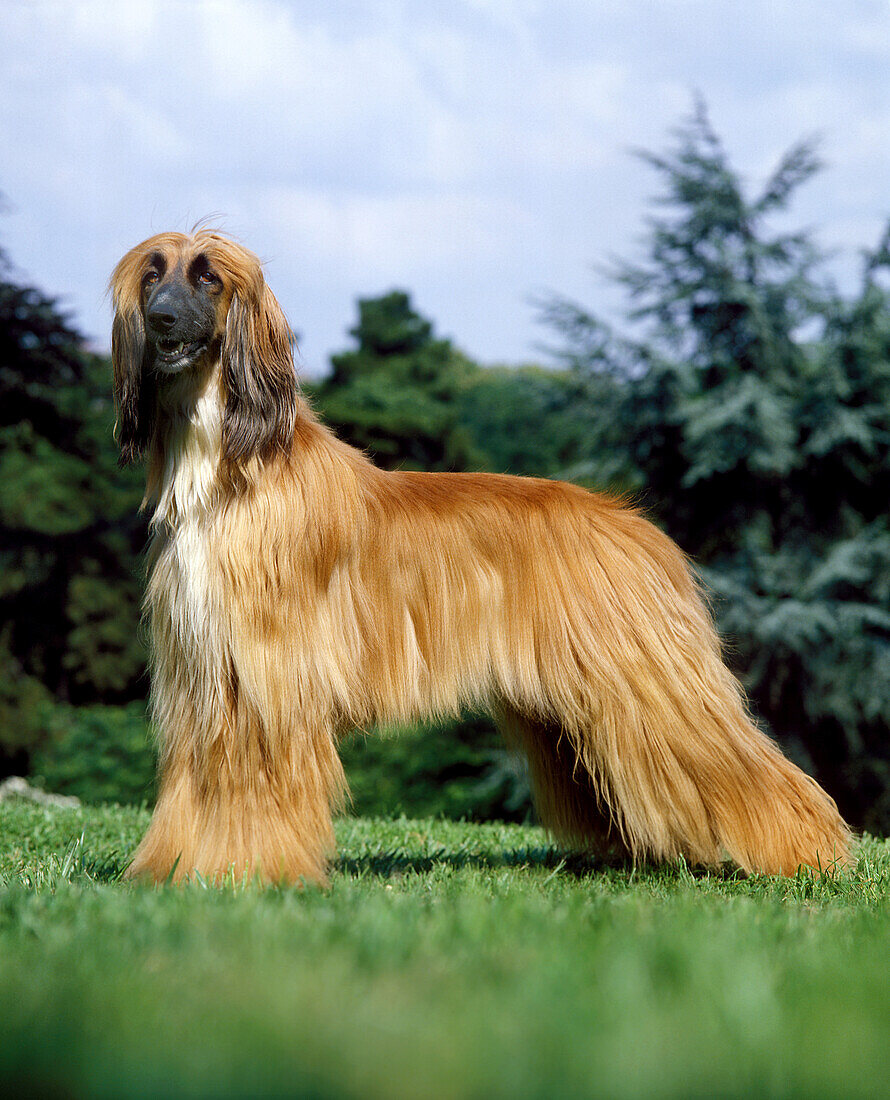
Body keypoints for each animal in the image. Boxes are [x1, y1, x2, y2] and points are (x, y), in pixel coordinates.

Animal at [111, 232, 853, 884]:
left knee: (740, 760)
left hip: (649, 679)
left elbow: (257, 786)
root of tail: (634, 526)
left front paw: (254, 874)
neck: (228, 471)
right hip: (571, 712)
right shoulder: (203, 673)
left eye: (207, 276)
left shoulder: (268, 676)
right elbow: (195, 785)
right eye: (153, 274)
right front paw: (177, 871)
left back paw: (811, 856)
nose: (161, 319)